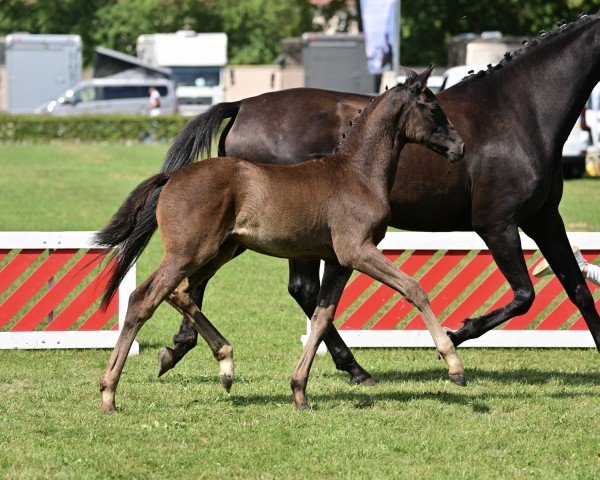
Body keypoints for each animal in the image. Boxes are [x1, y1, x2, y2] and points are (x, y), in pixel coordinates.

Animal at [96, 68, 466, 412]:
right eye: (434, 108)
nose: (459, 147)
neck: (357, 174)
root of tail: (173, 176)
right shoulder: (357, 251)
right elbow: (414, 288)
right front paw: (454, 365)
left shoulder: (338, 262)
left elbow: (321, 318)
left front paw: (300, 391)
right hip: (189, 252)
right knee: (144, 299)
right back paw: (109, 392)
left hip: (221, 250)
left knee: (181, 292)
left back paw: (224, 365)